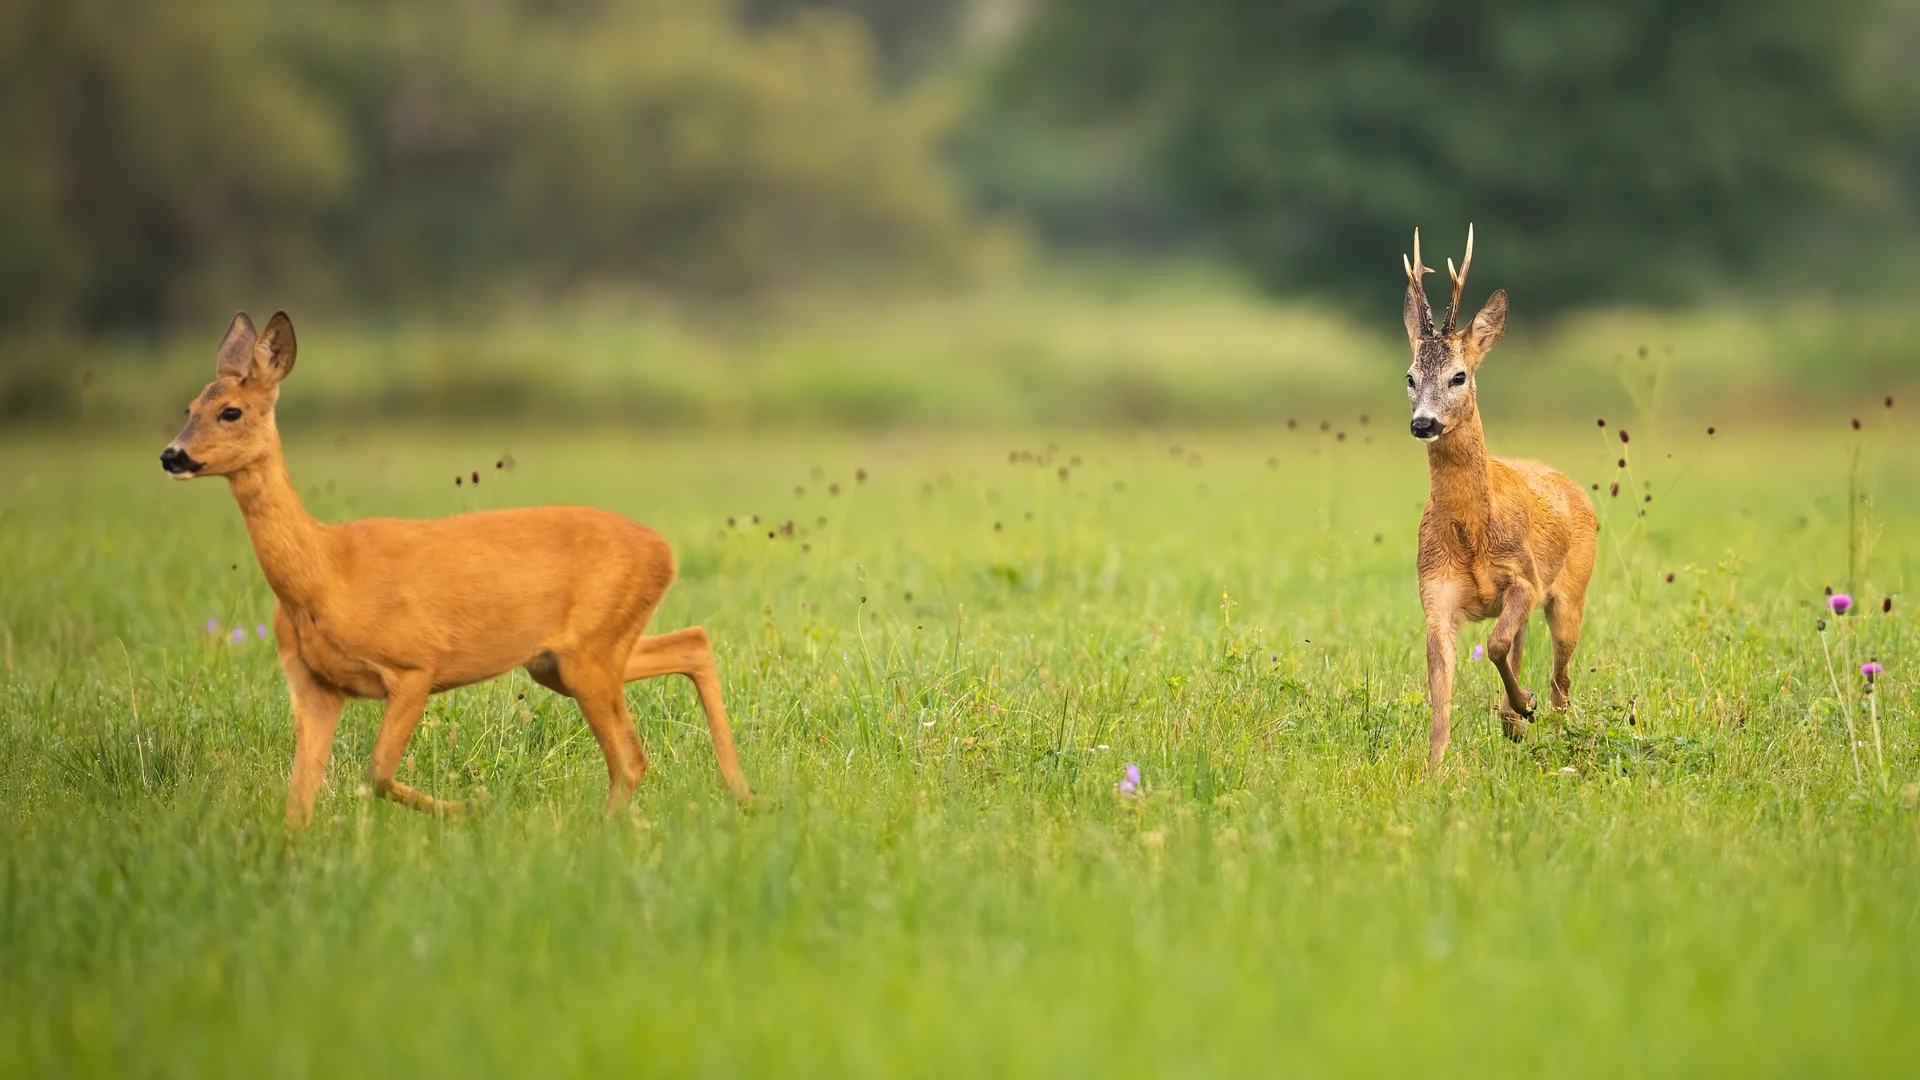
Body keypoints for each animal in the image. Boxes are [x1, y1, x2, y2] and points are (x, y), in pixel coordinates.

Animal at [160, 312, 753, 827]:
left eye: (231, 411)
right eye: (189, 406)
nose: (172, 455)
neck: (325, 575)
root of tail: (664, 551)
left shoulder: (413, 663)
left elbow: (376, 774)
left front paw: (470, 810)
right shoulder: (314, 684)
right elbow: (298, 801)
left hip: (590, 652)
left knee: (632, 756)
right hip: (561, 660)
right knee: (692, 644)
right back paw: (742, 795)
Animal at [1401, 227, 1597, 766]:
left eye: (1459, 375)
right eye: (1409, 376)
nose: (1423, 423)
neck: (1471, 537)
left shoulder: (1524, 578)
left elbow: (1493, 645)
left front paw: (1522, 705)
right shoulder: (1435, 598)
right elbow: (1440, 698)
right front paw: (1434, 770)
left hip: (1571, 592)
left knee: (1561, 680)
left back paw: (1546, 725)